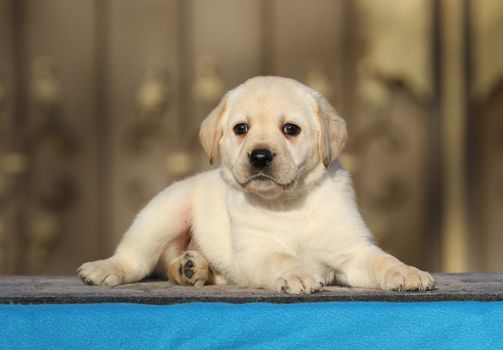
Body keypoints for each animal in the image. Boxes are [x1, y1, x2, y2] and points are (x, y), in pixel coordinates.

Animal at [77, 76, 436, 292]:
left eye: (290, 129)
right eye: (241, 129)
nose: (260, 156)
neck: (288, 203)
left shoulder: (352, 250)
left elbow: (382, 260)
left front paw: (407, 272)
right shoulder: (254, 252)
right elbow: (280, 258)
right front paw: (296, 274)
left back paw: (192, 268)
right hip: (163, 214)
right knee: (135, 258)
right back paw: (106, 268)